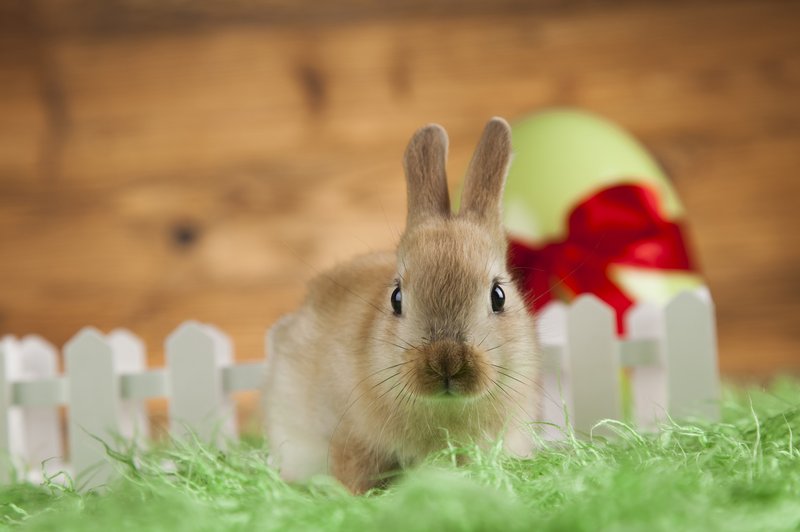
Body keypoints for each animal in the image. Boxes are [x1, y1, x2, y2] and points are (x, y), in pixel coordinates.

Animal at [266, 118, 540, 492]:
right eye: (396, 298)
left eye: (499, 296)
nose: (446, 361)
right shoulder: (350, 437)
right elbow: (352, 470)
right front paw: (354, 497)